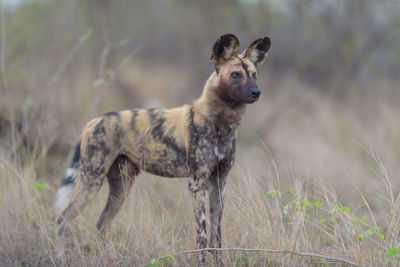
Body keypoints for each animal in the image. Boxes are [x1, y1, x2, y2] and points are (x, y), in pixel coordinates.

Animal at [54, 33, 272, 266]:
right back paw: (60, 257)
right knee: (62, 219)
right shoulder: (197, 184)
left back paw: (112, 258)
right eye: (236, 75)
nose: (257, 92)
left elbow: (217, 237)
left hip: (121, 187)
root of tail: (94, 121)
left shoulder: (219, 183)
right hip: (91, 182)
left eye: (254, 75)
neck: (221, 124)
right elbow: (202, 236)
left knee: (102, 223)